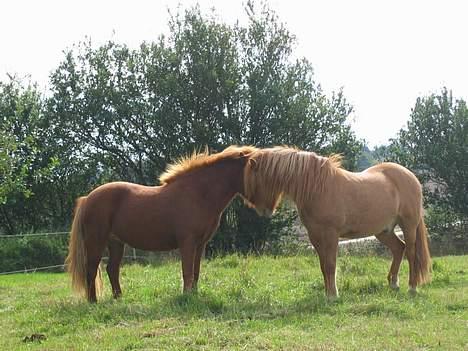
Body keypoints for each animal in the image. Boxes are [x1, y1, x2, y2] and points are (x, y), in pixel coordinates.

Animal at [66, 145, 258, 302]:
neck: (198, 193)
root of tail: (87, 199)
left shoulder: (200, 244)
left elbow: (195, 271)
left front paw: (194, 294)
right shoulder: (187, 243)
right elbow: (187, 271)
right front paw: (187, 296)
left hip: (116, 243)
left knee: (112, 269)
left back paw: (119, 298)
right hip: (96, 241)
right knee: (91, 269)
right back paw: (93, 302)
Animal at [245, 146, 432, 300]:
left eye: (259, 180)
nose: (263, 211)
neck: (317, 188)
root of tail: (412, 177)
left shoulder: (331, 234)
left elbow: (330, 264)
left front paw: (333, 295)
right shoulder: (315, 236)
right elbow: (323, 265)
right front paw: (328, 294)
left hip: (408, 225)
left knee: (411, 253)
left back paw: (412, 288)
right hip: (383, 231)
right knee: (399, 249)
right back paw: (393, 284)